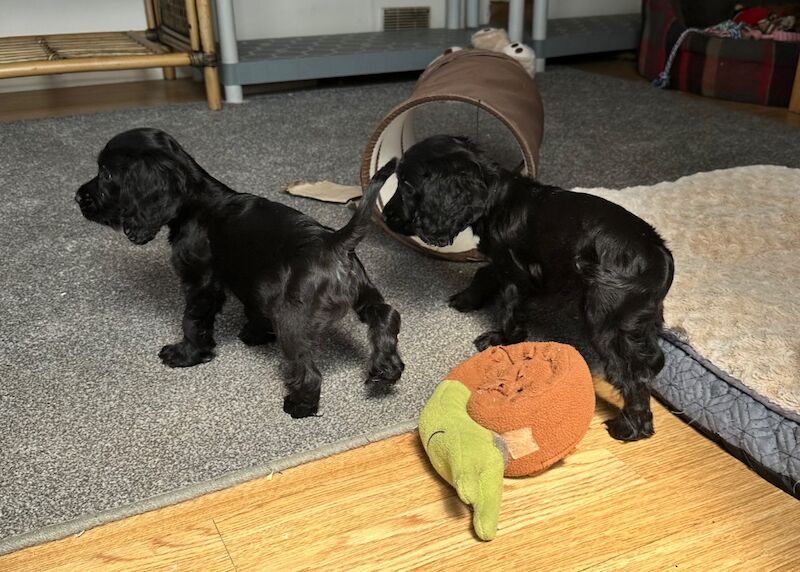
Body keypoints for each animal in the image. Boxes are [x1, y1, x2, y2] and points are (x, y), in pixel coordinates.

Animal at [77, 127, 404, 418]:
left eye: (107, 174)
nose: (78, 197)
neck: (198, 201)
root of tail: (335, 241)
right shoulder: (253, 283)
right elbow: (253, 309)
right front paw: (255, 334)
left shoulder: (201, 283)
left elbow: (192, 321)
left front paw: (186, 355)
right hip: (364, 295)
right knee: (386, 316)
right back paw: (386, 370)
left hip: (292, 321)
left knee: (308, 370)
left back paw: (299, 406)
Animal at [384, 135, 672, 442]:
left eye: (407, 184)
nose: (387, 216)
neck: (497, 197)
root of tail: (661, 256)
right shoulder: (502, 261)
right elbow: (485, 272)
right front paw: (467, 299)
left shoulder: (516, 272)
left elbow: (510, 310)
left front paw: (499, 339)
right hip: (642, 320)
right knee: (653, 360)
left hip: (606, 320)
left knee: (633, 376)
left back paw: (630, 428)